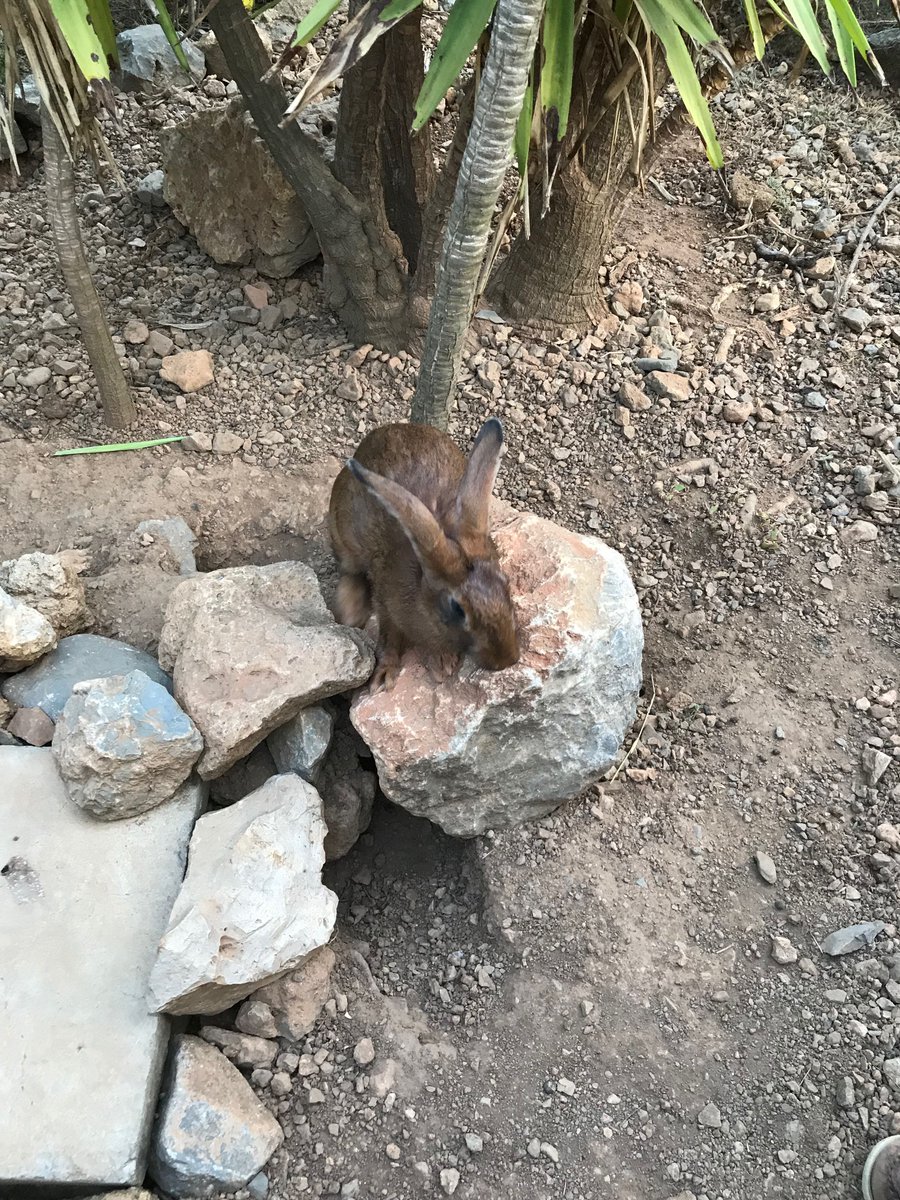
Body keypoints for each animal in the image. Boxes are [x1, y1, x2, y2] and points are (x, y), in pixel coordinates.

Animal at [329, 417, 520, 692]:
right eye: (457, 608)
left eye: (506, 584)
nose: (506, 661)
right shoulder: (387, 605)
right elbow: (389, 638)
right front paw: (385, 676)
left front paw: (443, 662)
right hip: (344, 535)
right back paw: (351, 610)